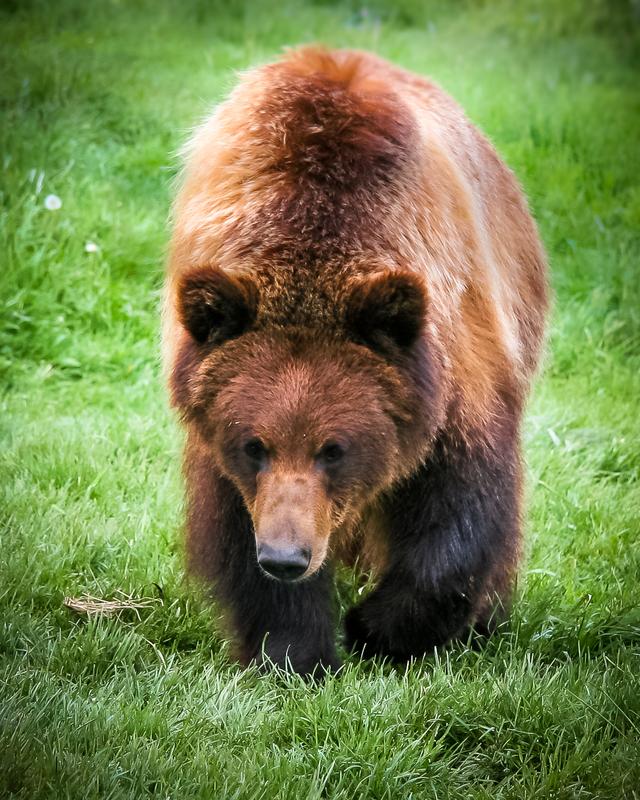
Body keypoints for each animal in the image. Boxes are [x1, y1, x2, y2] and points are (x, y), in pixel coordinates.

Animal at [162, 47, 548, 680]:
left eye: (334, 448)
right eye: (254, 445)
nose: (287, 557)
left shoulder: (450, 355)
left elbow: (463, 504)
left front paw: (376, 629)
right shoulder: (215, 422)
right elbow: (235, 524)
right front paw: (294, 650)